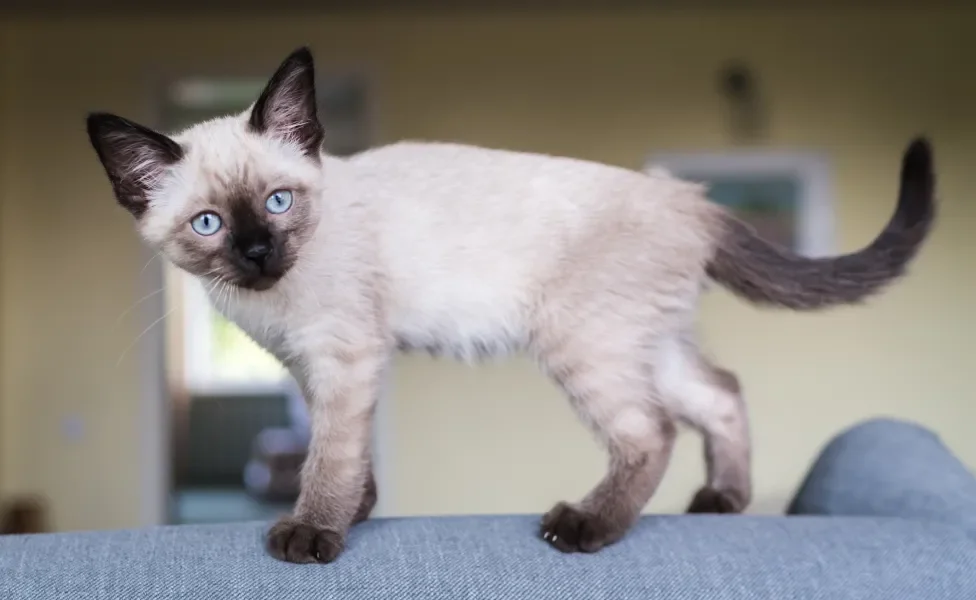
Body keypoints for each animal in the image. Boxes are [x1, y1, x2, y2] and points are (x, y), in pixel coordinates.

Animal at [86, 45, 936, 564]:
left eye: (278, 202)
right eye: (209, 225)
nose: (258, 252)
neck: (271, 302)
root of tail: (690, 199)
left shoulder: (345, 359)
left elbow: (330, 458)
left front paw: (313, 533)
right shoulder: (315, 370)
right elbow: (349, 456)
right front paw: (357, 512)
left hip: (581, 343)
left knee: (651, 431)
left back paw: (584, 528)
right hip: (642, 343)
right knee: (720, 393)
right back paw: (720, 502)